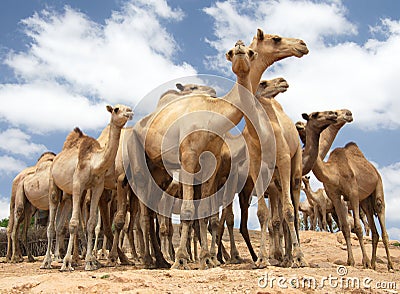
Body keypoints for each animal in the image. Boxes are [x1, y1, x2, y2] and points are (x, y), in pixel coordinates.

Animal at [41, 104, 134, 272]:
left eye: (127, 107)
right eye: (116, 109)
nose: (129, 111)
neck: (93, 162)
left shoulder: (97, 186)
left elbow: (91, 224)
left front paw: (90, 262)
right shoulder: (78, 184)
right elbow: (73, 223)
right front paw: (66, 263)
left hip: (70, 194)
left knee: (60, 225)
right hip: (54, 184)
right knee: (51, 221)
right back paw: (48, 262)